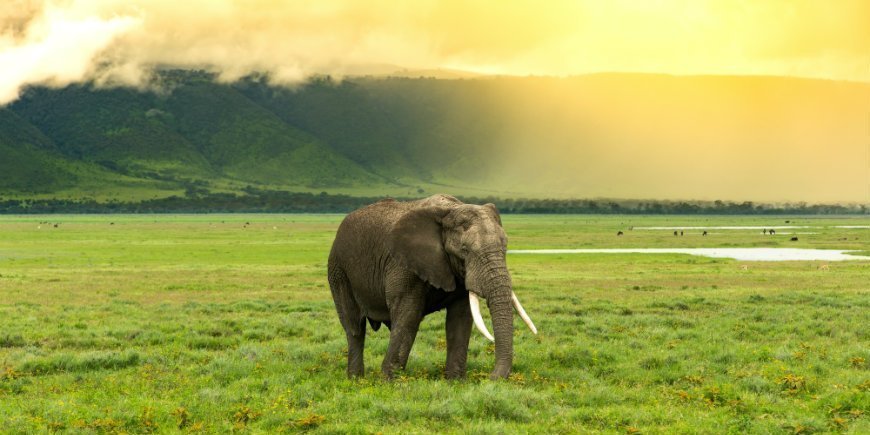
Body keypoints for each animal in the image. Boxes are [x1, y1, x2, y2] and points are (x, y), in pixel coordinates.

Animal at [327, 194, 536, 380]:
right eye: (465, 250)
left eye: (505, 247)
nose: (491, 378)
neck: (450, 209)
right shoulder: (403, 264)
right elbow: (409, 315)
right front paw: (390, 382)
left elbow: (460, 318)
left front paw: (456, 381)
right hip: (339, 270)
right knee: (354, 327)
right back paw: (356, 380)